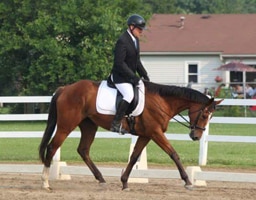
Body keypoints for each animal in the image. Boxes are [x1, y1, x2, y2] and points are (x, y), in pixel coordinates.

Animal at [38, 79, 222, 190]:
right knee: (52, 147)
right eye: (204, 115)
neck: (162, 102)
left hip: (89, 125)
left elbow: (134, 157)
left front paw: (125, 182)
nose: (196, 137)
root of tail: (65, 88)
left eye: (210, 117)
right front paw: (188, 181)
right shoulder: (155, 133)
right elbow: (173, 153)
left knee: (83, 150)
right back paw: (45, 182)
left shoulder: (146, 135)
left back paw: (101, 179)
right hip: (66, 126)